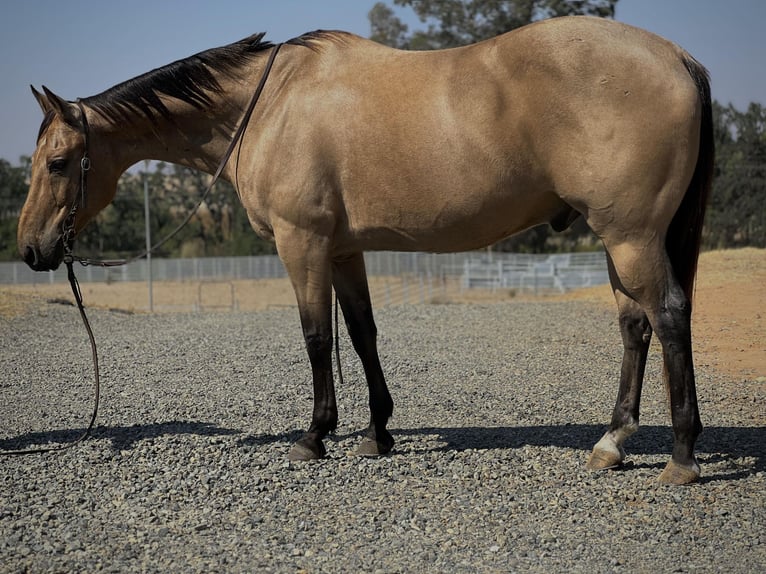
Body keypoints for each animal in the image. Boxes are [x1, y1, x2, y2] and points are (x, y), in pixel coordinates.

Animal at [16, 15, 712, 486]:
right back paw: (612, 442)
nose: (31, 249)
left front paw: (313, 436)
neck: (267, 106)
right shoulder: (345, 250)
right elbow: (361, 333)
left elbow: (316, 337)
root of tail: (677, 56)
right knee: (635, 327)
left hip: (630, 237)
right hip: (619, 239)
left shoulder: (302, 242)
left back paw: (681, 456)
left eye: (58, 163)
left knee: (670, 316)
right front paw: (378, 432)